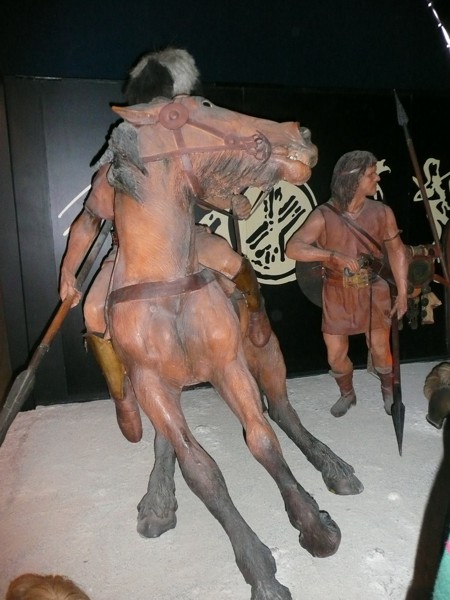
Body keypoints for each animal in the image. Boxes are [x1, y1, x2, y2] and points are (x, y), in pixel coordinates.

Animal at [104, 95, 361, 600]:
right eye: (196, 108)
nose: (300, 133)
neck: (167, 283)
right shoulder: (150, 384)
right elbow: (198, 468)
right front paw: (259, 569)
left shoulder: (229, 367)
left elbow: (262, 439)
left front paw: (315, 526)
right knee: (166, 442)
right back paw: (157, 503)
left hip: (266, 354)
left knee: (282, 413)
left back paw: (334, 467)